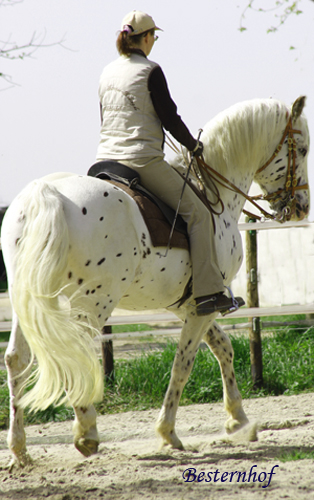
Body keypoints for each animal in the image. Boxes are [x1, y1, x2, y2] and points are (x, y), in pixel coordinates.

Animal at [0, 95, 310, 466]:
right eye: (302, 149)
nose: (302, 206)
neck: (214, 195)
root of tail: (47, 193)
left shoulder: (190, 305)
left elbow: (223, 347)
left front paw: (239, 420)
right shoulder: (203, 308)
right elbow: (183, 364)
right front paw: (168, 432)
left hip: (28, 300)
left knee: (17, 360)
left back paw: (20, 449)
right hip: (93, 302)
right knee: (75, 354)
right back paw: (87, 433)